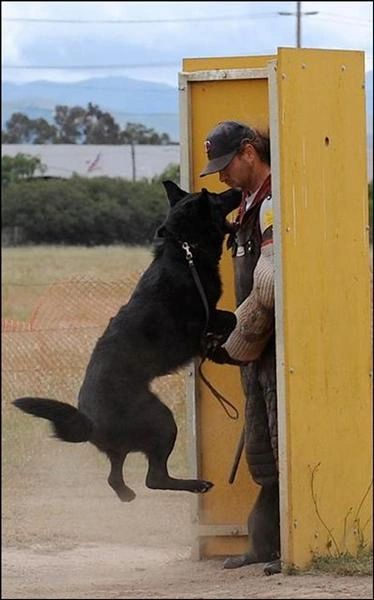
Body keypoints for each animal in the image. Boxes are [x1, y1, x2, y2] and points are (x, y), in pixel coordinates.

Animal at [13, 182, 241, 502]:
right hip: (162, 419)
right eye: (218, 198)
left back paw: (126, 494)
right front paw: (221, 349)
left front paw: (221, 352)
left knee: (114, 476)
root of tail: (91, 421)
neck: (186, 253)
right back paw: (196, 484)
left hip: (132, 439)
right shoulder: (201, 322)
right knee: (154, 478)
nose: (236, 190)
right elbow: (230, 319)